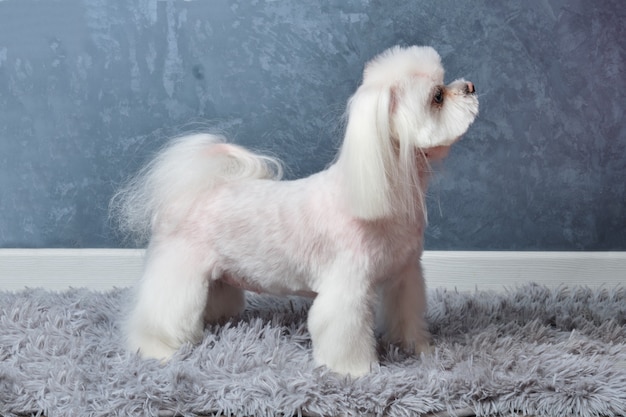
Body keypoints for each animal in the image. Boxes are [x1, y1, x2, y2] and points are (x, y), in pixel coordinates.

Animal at [111, 45, 478, 376]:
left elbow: (408, 315)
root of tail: (195, 192)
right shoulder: (347, 287)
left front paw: (419, 348)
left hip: (215, 274)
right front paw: (356, 371)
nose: (470, 86)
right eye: (437, 97)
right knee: (160, 312)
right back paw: (155, 348)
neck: (388, 189)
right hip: (179, 271)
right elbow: (343, 331)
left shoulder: (405, 274)